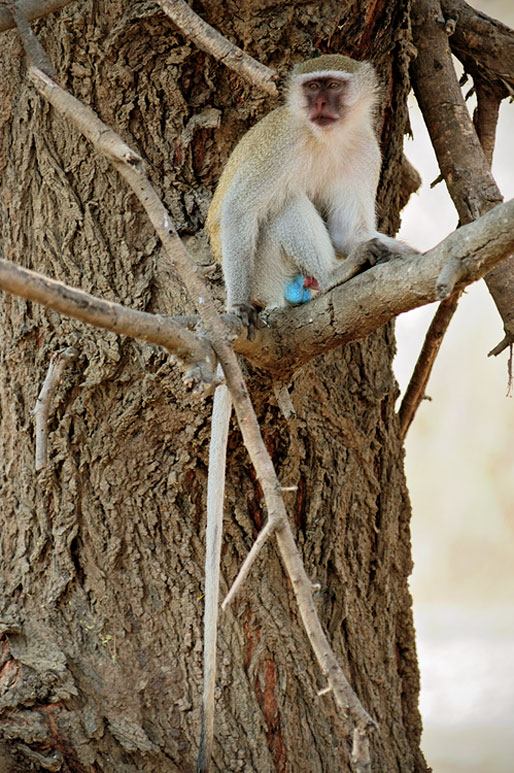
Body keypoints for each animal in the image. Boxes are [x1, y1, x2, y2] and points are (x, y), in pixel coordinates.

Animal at [195, 54, 412, 772]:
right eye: (312, 88)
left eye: (333, 89)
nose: (318, 105)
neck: (326, 138)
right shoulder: (284, 145)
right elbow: (242, 209)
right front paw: (236, 309)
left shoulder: (366, 150)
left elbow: (348, 220)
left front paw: (374, 242)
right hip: (264, 268)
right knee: (282, 207)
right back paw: (329, 279)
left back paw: (361, 260)